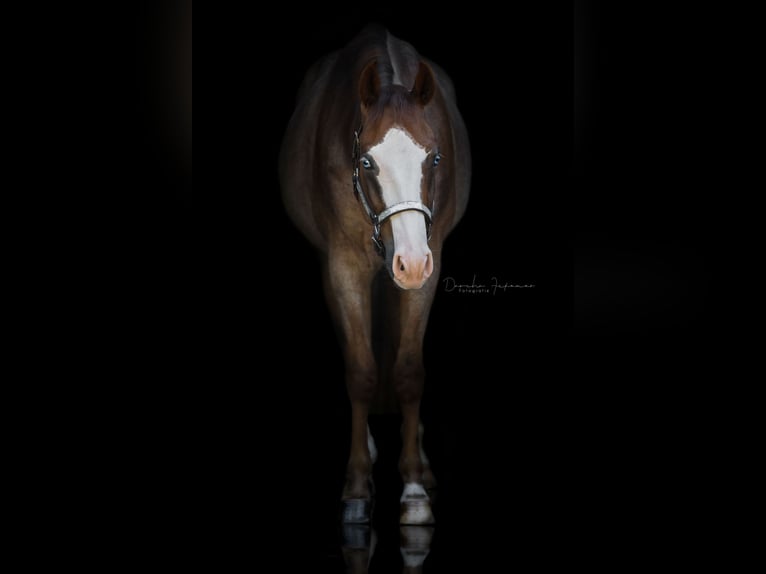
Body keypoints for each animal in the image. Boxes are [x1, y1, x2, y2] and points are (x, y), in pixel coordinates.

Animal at [279, 24, 471, 525]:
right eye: (366, 161)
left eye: (435, 159)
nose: (411, 261)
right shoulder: (343, 267)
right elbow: (361, 371)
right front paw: (357, 488)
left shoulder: (429, 270)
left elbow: (408, 371)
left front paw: (415, 489)